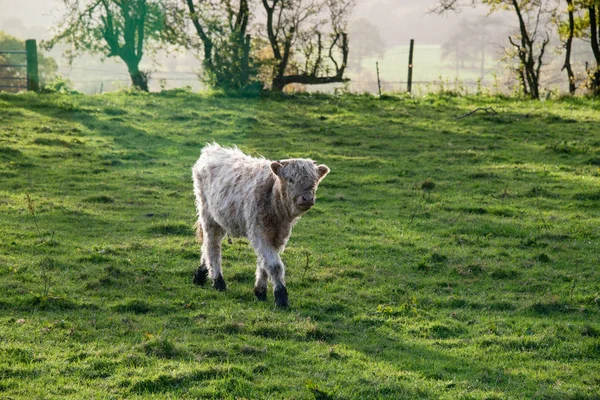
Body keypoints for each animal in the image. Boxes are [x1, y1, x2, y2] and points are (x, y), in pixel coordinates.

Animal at [192, 144, 330, 306]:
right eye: (290, 180)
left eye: (314, 182)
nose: (307, 198)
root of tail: (211, 149)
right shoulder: (259, 232)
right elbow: (274, 265)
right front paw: (281, 296)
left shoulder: (278, 236)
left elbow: (265, 263)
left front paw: (260, 292)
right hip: (208, 216)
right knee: (212, 246)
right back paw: (218, 281)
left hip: (222, 218)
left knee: (206, 245)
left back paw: (201, 275)